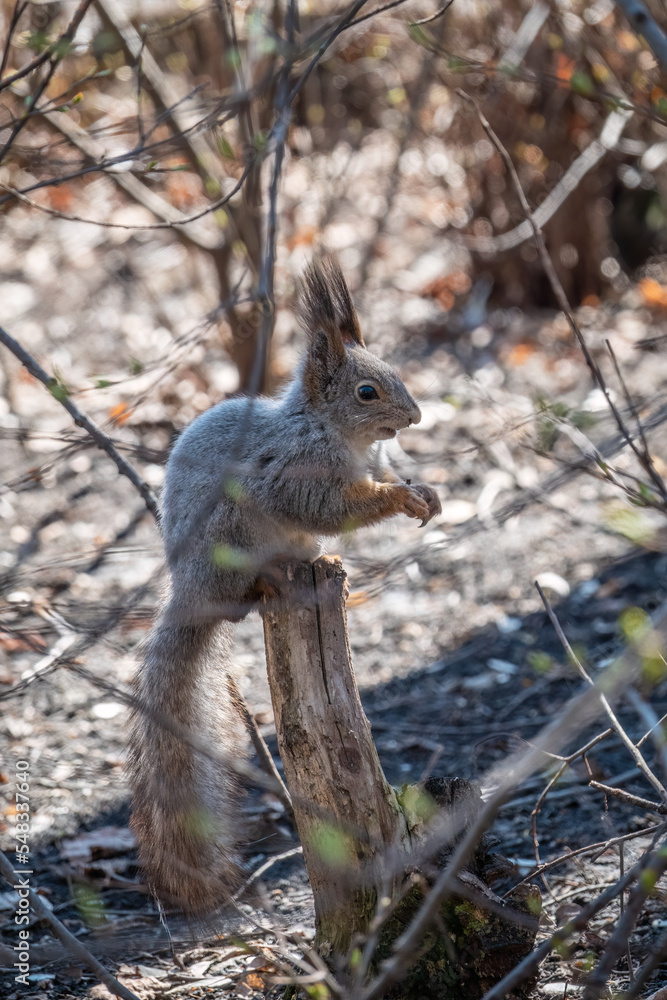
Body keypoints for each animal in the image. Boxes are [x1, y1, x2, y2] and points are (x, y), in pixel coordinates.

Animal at [128, 255, 442, 915]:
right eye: (367, 392)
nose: (415, 418)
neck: (337, 433)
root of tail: (189, 594)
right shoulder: (292, 474)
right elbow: (328, 507)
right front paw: (398, 498)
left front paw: (424, 491)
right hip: (233, 535)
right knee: (244, 596)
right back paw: (271, 581)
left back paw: (328, 569)